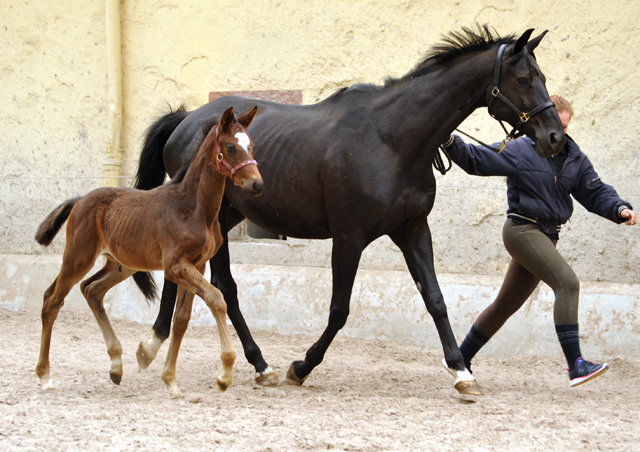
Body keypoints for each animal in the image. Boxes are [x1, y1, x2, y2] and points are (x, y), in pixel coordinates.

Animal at [34, 107, 260, 400]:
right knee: (52, 299)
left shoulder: (196, 265)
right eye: (231, 148)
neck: (194, 207)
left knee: (91, 289)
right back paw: (45, 376)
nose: (257, 184)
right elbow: (217, 298)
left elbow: (182, 319)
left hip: (121, 265)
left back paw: (116, 366)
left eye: (251, 145)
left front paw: (171, 381)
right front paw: (224, 375)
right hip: (78, 257)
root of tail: (80, 200)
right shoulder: (176, 266)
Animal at [132, 25, 564, 396]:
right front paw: (301, 367)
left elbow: (435, 299)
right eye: (523, 79)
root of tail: (185, 120)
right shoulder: (349, 237)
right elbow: (339, 309)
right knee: (213, 284)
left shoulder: (413, 229)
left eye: (542, 75)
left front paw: (461, 372)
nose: (555, 137)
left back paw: (229, 358)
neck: (391, 139)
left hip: (225, 217)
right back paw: (185, 351)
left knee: (201, 281)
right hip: (211, 218)